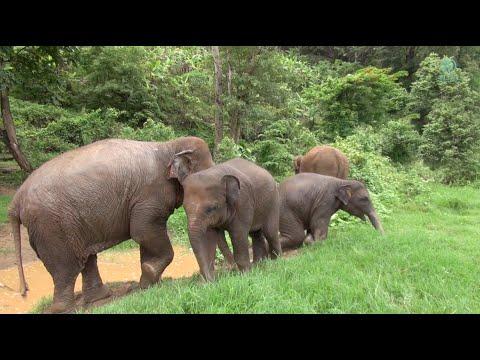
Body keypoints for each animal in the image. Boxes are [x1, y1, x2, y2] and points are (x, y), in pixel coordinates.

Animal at [7, 135, 222, 312]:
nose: (209, 281)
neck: (169, 146)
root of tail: (16, 199)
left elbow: (145, 237)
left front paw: (147, 284)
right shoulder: (149, 195)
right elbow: (143, 231)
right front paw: (149, 278)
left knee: (86, 258)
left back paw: (100, 298)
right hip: (51, 226)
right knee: (65, 267)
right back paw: (66, 309)